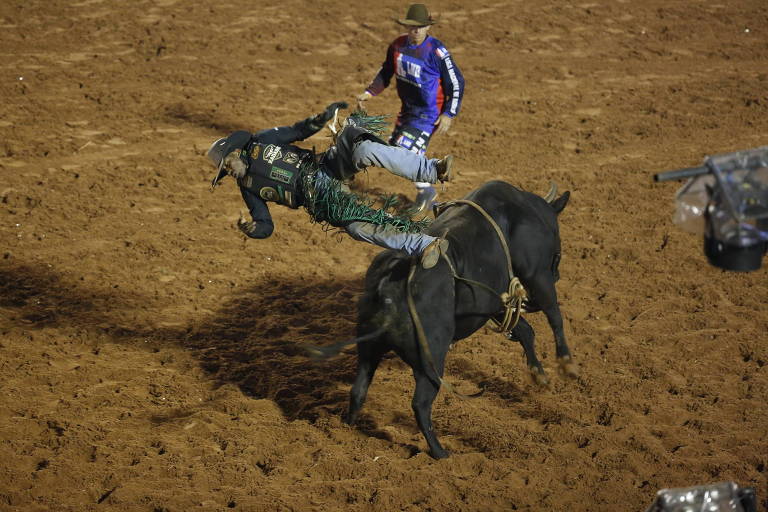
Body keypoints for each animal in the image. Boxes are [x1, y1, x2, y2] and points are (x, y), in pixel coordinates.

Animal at [308, 181, 572, 460]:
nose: (557, 273)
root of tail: (389, 290)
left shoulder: (493, 301)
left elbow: (525, 330)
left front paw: (539, 374)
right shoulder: (538, 274)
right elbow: (553, 314)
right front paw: (566, 363)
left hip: (369, 349)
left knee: (358, 389)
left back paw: (347, 429)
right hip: (431, 360)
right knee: (420, 404)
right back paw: (439, 451)